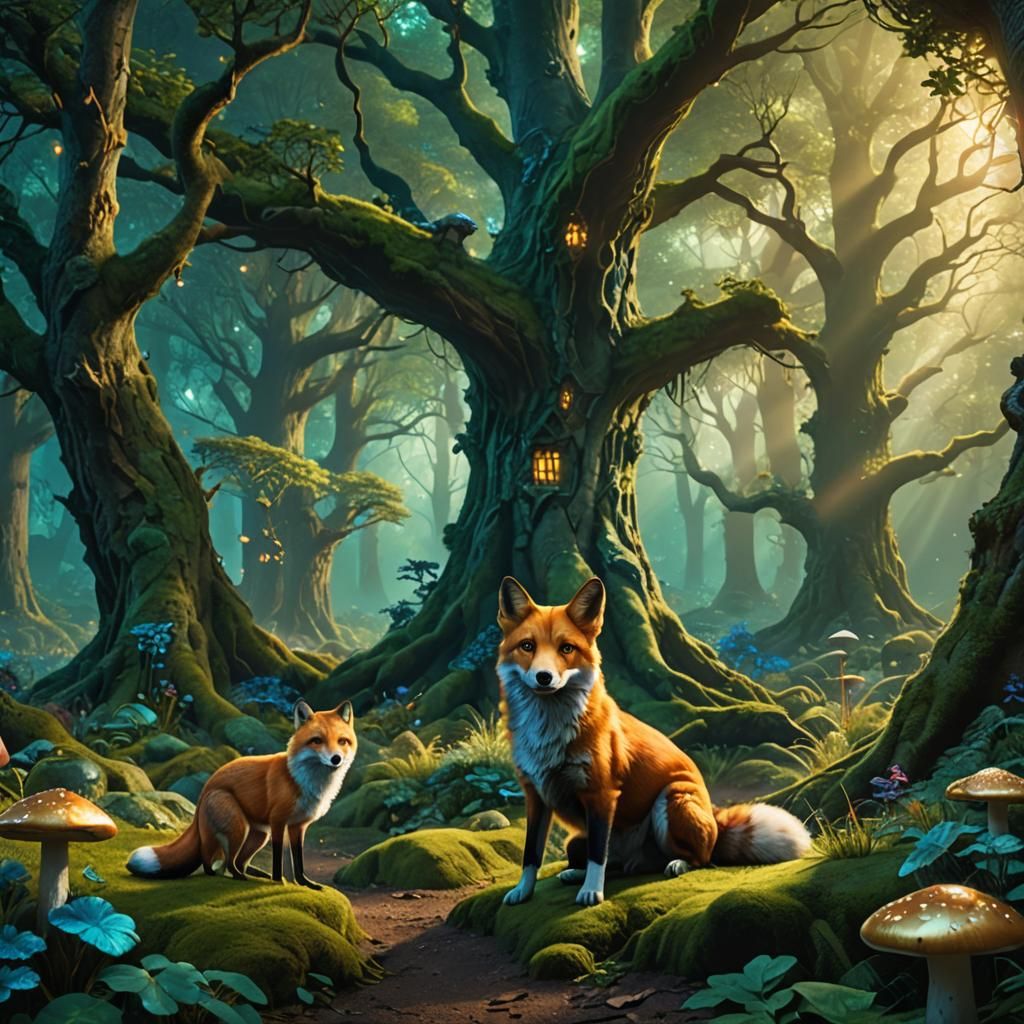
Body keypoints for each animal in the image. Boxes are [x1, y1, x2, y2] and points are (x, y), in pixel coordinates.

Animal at [127, 700, 356, 889]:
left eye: (342, 741)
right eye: (317, 740)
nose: (336, 759)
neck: (301, 780)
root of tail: (207, 787)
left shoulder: (298, 826)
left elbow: (298, 862)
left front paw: (304, 884)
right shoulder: (278, 821)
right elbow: (278, 859)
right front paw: (278, 880)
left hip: (259, 835)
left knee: (234, 862)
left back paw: (252, 874)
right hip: (238, 827)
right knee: (215, 859)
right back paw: (232, 876)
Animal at [496, 576, 811, 908]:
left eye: (566, 648)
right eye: (527, 646)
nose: (544, 677)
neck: (549, 734)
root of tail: (714, 817)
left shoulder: (602, 793)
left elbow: (597, 854)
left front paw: (592, 892)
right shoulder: (536, 795)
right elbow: (531, 853)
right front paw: (523, 891)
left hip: (670, 800)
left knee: (702, 858)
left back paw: (677, 864)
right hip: (576, 841)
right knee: (615, 861)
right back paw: (580, 872)